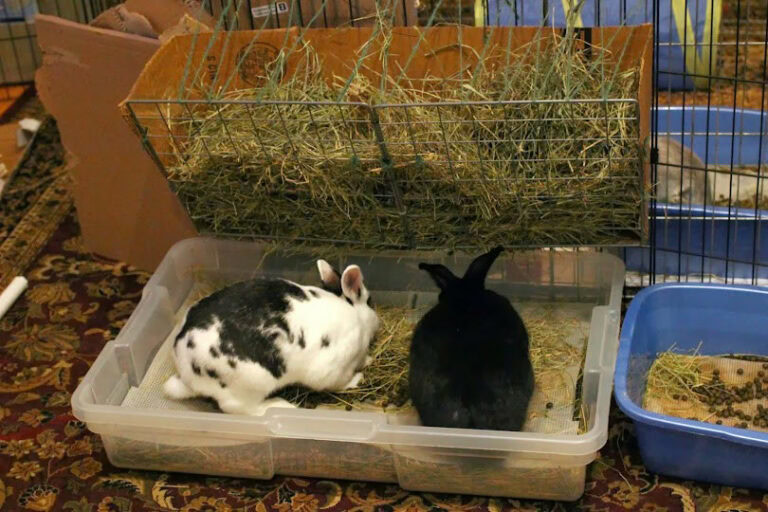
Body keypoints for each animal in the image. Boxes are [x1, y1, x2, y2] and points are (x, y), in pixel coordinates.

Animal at [163, 260, 379, 415]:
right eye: (370, 301)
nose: (379, 322)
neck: (356, 316)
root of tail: (186, 375)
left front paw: (368, 360)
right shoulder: (333, 370)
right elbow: (340, 382)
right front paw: (358, 378)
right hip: (250, 386)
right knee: (238, 408)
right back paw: (280, 405)